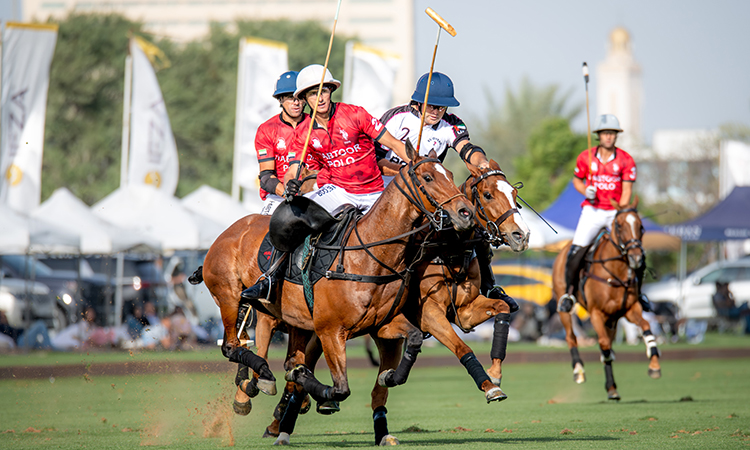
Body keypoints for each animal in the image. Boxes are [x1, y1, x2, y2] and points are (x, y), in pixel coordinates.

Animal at [197, 146, 472, 420]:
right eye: (428, 177)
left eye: (449, 173)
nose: (465, 213)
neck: (370, 255)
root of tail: (229, 231)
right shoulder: (330, 331)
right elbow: (340, 388)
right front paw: (308, 388)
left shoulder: (382, 323)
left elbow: (413, 338)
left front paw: (389, 376)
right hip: (229, 297)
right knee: (231, 346)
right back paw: (261, 375)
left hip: (288, 317)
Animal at [552, 199, 664, 400]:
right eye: (619, 226)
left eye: (641, 226)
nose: (636, 258)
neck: (616, 271)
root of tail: (564, 248)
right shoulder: (596, 312)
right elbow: (603, 345)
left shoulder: (630, 309)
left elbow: (645, 326)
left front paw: (654, 365)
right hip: (564, 306)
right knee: (571, 337)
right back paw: (578, 371)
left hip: (612, 319)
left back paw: (611, 387)